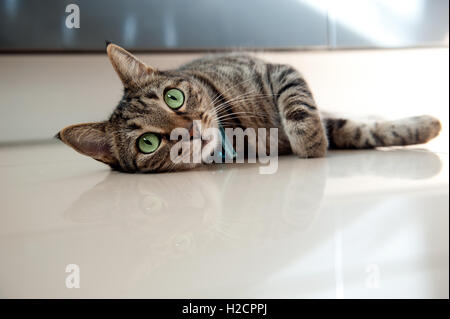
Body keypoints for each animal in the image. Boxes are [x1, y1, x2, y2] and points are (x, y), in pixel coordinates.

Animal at [55, 43, 440, 172]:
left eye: (173, 97)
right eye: (147, 143)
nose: (190, 130)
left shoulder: (276, 70)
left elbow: (303, 107)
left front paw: (310, 141)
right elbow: (354, 131)